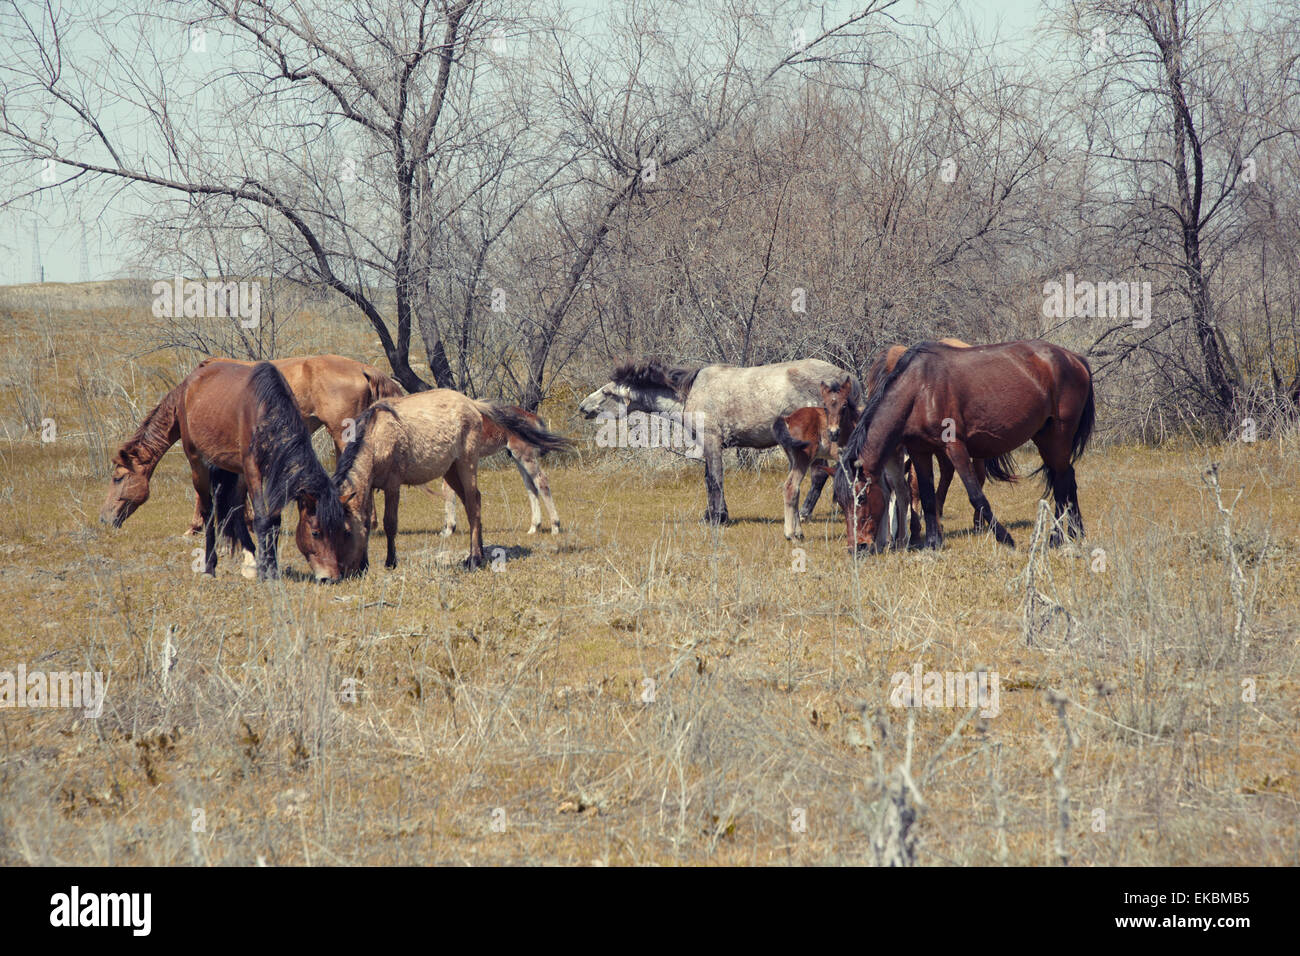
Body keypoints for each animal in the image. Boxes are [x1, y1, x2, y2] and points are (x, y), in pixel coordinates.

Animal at [175, 361, 364, 580]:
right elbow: (262, 518)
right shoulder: (252, 469)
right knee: (208, 511)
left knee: (235, 507)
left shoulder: (274, 474)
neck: (265, 411)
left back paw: (250, 562)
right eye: (315, 532)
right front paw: (268, 571)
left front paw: (270, 567)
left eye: (342, 531)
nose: (331, 577)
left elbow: (274, 521)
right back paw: (209, 567)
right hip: (198, 462)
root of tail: (190, 381)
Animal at [439, 403, 561, 538]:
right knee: (531, 486)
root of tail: (532, 417)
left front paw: (449, 529)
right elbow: (447, 490)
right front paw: (447, 528)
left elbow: (448, 491)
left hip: (524, 455)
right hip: (518, 457)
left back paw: (555, 527)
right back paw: (534, 527)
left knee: (541, 481)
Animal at [582, 358, 863, 528]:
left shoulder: (711, 441)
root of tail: (846, 376)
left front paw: (717, 518)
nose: (582, 407)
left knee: (820, 475)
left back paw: (803, 513)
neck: (690, 393)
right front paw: (715, 514)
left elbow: (714, 480)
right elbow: (710, 478)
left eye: (607, 393)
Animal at [832, 343, 1097, 554]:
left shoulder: (955, 447)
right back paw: (1074, 533)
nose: (857, 547)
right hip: (1045, 438)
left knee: (1062, 481)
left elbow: (976, 495)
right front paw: (932, 543)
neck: (920, 389)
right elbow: (927, 497)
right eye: (842, 503)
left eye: (861, 497)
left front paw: (1006, 539)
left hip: (1058, 436)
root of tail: (1074, 358)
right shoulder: (920, 451)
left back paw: (1056, 538)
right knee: (1066, 478)